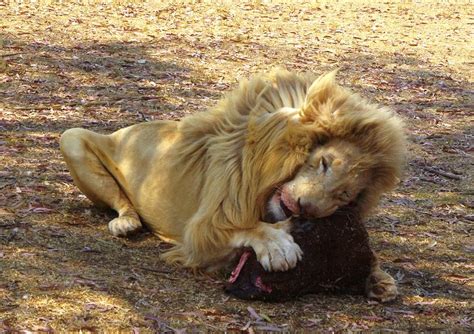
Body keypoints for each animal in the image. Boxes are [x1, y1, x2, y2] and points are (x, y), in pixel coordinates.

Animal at [60, 70, 404, 302]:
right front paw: (277, 245)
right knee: (122, 203)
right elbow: (243, 227)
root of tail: (123, 130)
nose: (304, 207)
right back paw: (127, 222)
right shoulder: (202, 228)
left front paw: (379, 278)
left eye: (344, 195)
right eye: (324, 163)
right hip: (71, 137)